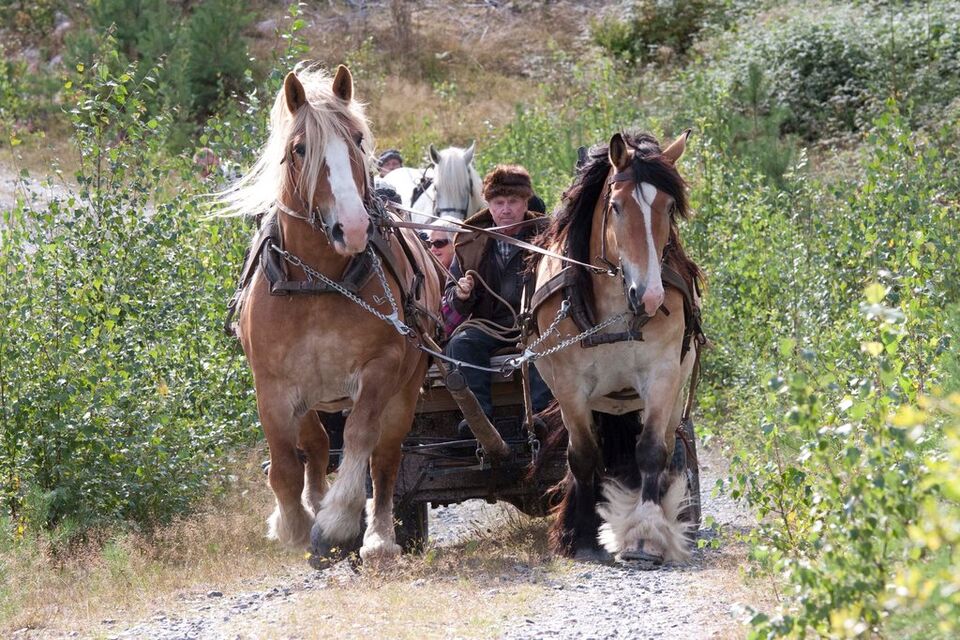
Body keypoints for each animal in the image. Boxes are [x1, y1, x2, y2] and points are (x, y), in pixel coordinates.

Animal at [218, 63, 441, 566]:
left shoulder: (382, 369)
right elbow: (285, 463)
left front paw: (338, 520)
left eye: (357, 139)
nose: (353, 227)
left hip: (407, 389)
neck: (319, 281)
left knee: (386, 458)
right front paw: (296, 524)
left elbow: (360, 439)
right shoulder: (273, 383)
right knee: (317, 447)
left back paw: (378, 537)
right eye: (300, 149)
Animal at [528, 130, 703, 566]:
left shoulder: (662, 375)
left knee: (670, 445)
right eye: (616, 206)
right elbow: (583, 455)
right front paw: (579, 534)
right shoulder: (569, 386)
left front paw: (645, 537)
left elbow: (652, 451)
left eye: (669, 206)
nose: (651, 296)